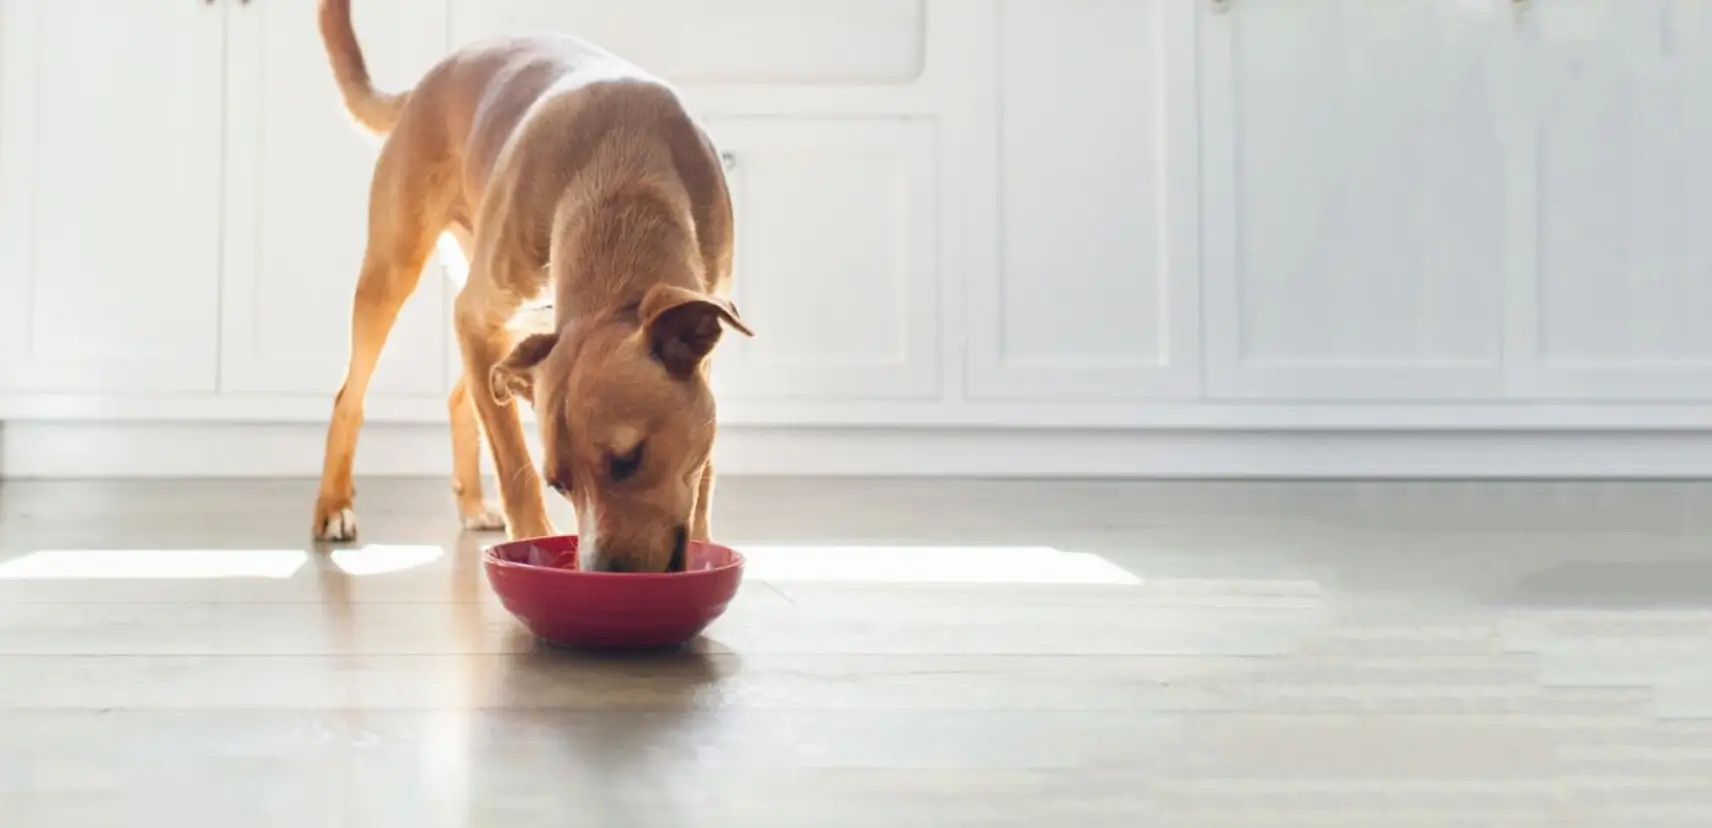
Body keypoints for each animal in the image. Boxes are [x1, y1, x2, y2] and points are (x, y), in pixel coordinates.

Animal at [311, 0, 753, 571]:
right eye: (561, 485)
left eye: (629, 459)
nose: (601, 575)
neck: (622, 178)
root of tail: (424, 85)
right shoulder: (476, 318)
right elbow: (513, 466)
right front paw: (529, 545)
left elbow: (703, 472)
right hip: (394, 270)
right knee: (351, 395)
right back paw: (333, 506)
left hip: (509, 333)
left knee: (461, 398)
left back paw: (471, 504)